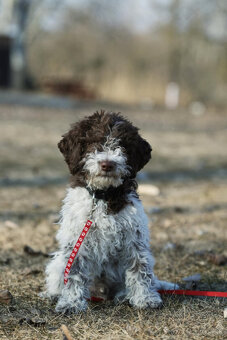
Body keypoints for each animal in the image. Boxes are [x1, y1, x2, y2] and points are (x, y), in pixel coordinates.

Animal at [44, 110, 176, 312]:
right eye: (94, 143)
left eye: (121, 145)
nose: (107, 164)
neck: (102, 196)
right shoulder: (77, 240)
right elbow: (74, 272)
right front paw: (71, 303)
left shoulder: (134, 238)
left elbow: (139, 268)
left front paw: (145, 298)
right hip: (58, 262)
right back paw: (53, 294)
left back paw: (123, 295)